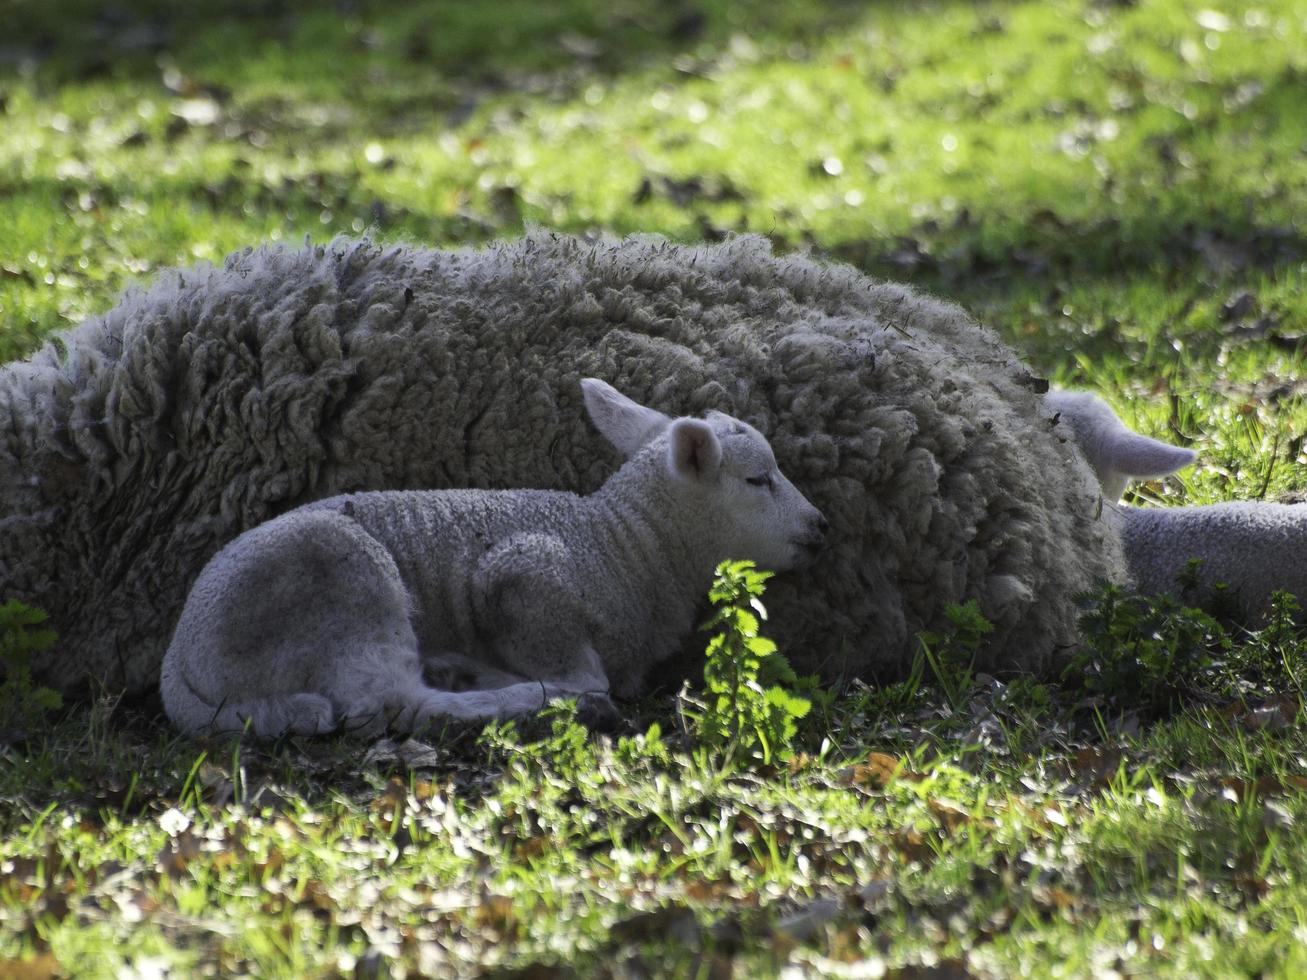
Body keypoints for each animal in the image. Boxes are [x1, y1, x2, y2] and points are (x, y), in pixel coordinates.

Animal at [158, 378, 820, 742]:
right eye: (759, 480)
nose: (821, 526)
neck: (625, 543)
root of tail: (180, 660)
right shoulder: (522, 578)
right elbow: (587, 673)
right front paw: (567, 692)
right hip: (346, 586)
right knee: (394, 703)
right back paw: (519, 698)